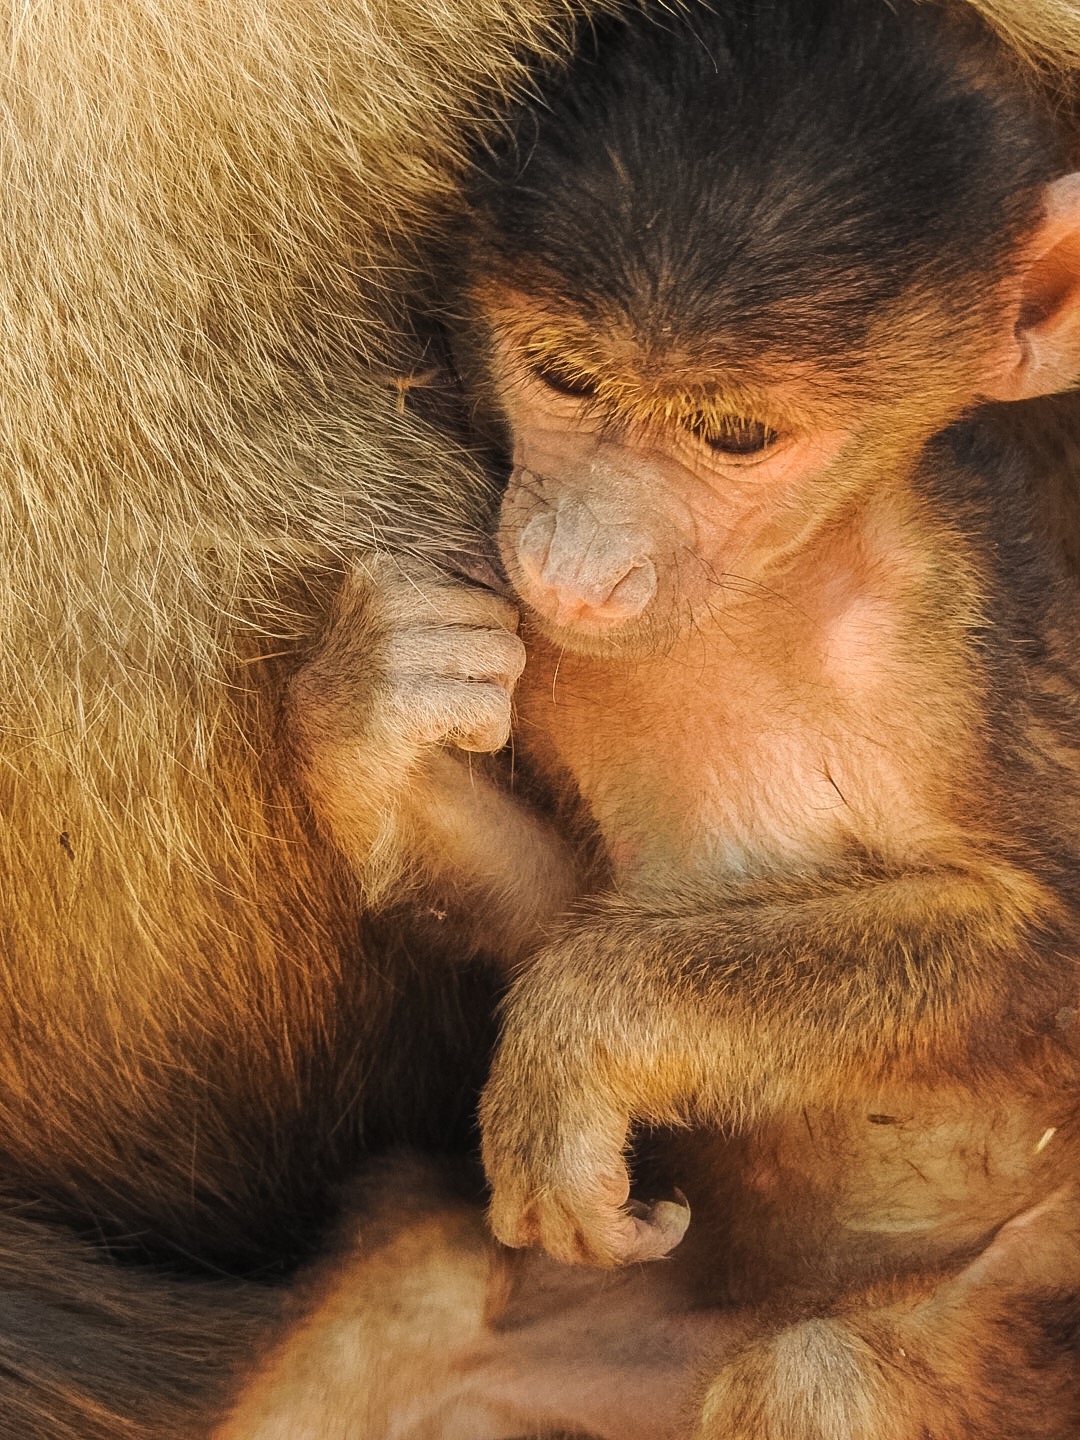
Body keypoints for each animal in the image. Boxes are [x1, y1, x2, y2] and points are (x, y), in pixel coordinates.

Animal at [7, 0, 1080, 1437]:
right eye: (566, 378)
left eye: (734, 436)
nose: (577, 559)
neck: (753, 611)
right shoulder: (544, 641)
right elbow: (541, 895)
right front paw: (372, 703)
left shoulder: (947, 625)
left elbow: (1043, 942)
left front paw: (588, 1031)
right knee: (413, 1282)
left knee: (823, 1374)